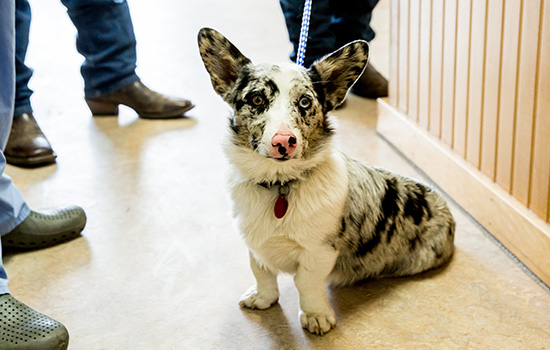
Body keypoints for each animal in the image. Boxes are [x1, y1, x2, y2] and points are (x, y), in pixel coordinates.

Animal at [198, 28, 458, 336]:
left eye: (305, 102)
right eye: (257, 100)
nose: (283, 142)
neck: (279, 184)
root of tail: (447, 211)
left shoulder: (318, 252)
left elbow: (305, 283)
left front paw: (316, 316)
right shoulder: (255, 246)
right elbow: (262, 273)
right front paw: (263, 298)